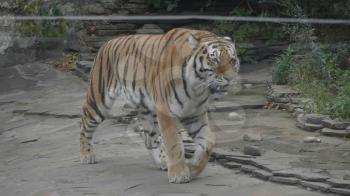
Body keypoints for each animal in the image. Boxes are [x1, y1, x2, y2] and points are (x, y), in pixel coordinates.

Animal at [80, 27, 241, 184]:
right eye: (214, 60)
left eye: (232, 60)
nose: (230, 78)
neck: (197, 87)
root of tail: (106, 43)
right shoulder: (166, 111)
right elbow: (174, 142)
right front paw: (179, 174)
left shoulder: (195, 114)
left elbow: (208, 141)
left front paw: (192, 168)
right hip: (98, 101)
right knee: (84, 122)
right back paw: (86, 155)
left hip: (147, 110)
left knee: (149, 139)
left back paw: (162, 162)